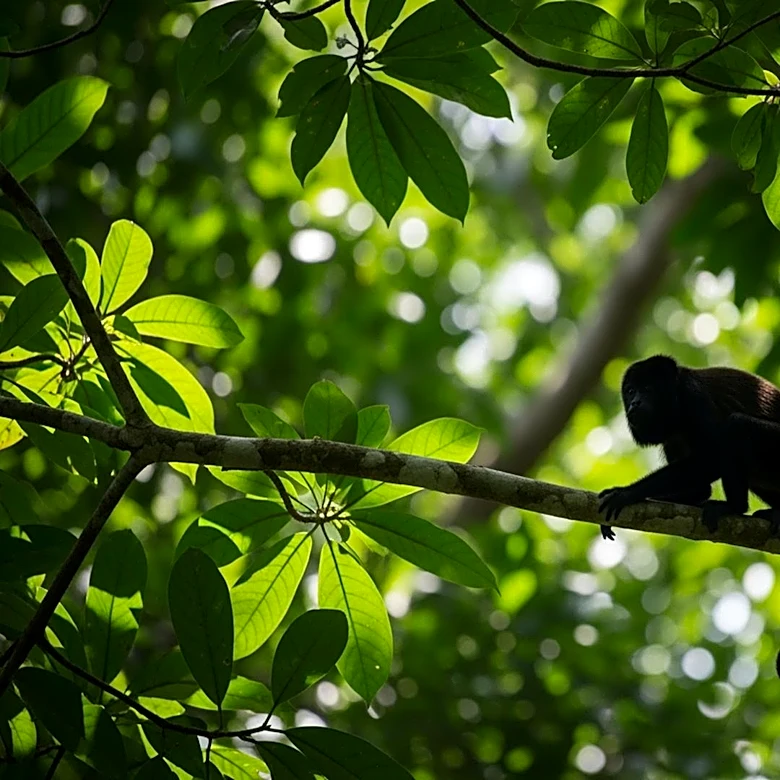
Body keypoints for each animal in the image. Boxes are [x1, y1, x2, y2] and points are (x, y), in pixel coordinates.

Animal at [598, 355, 780, 541]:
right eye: (630, 391)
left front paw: (625, 493)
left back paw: (734, 507)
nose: (635, 403)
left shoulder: (695, 398)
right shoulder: (671, 440)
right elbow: (700, 490)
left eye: (648, 389)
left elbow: (711, 459)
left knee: (738, 425)